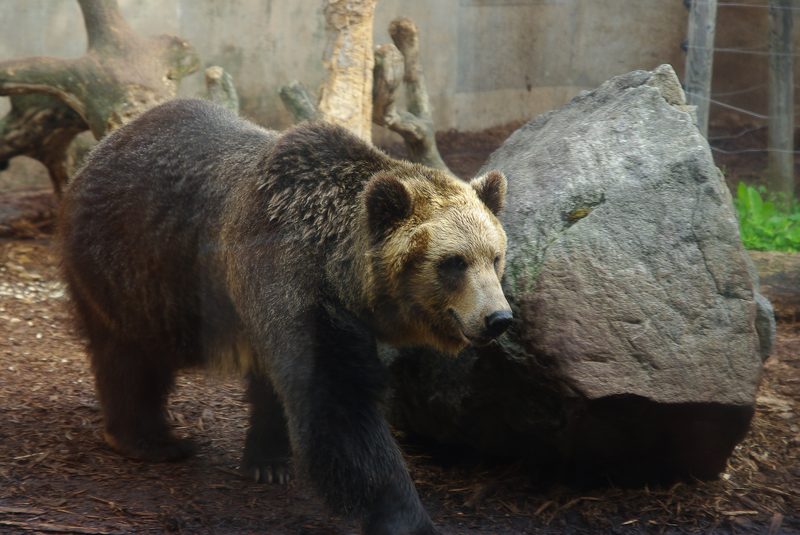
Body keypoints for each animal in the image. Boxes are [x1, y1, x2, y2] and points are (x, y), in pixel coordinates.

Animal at [59, 98, 512, 534]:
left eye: (494, 256)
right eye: (453, 262)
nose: (497, 318)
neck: (339, 271)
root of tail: (104, 146)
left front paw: (270, 461)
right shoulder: (288, 280)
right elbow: (337, 407)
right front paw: (405, 514)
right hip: (132, 268)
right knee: (131, 357)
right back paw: (148, 439)